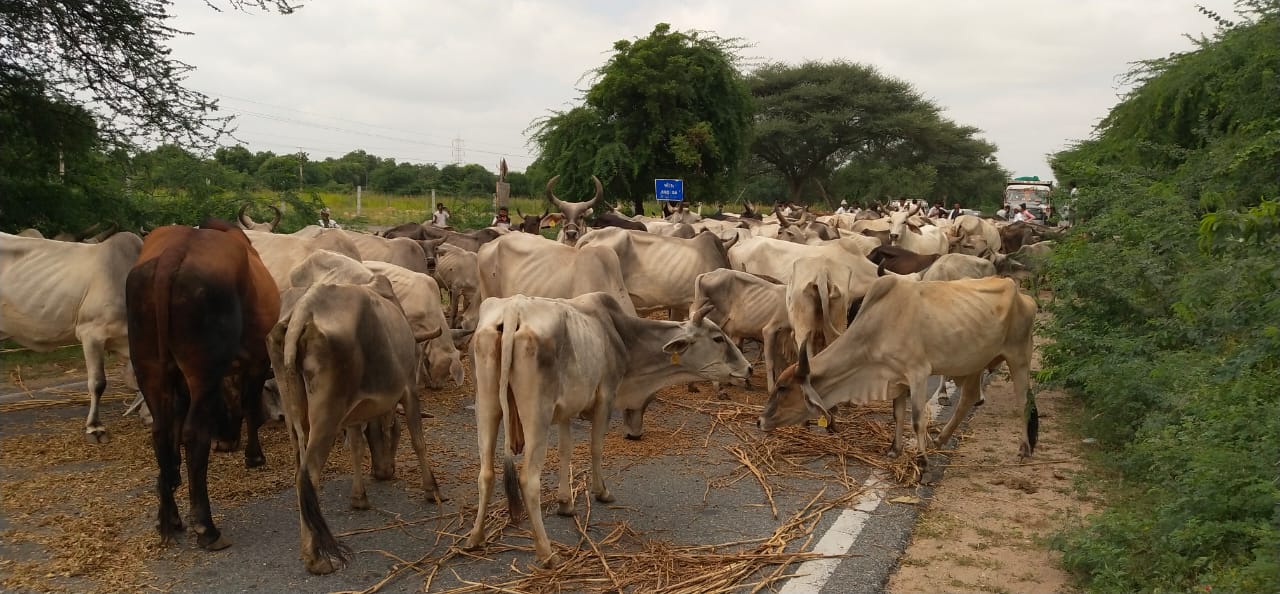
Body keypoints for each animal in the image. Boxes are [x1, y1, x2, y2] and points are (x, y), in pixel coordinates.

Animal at [125, 218, 280, 553]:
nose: (226, 439)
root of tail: (173, 254)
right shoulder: (258, 359)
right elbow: (250, 404)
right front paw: (254, 456)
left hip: (149, 366)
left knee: (162, 431)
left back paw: (169, 518)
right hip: (203, 370)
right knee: (194, 434)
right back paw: (206, 527)